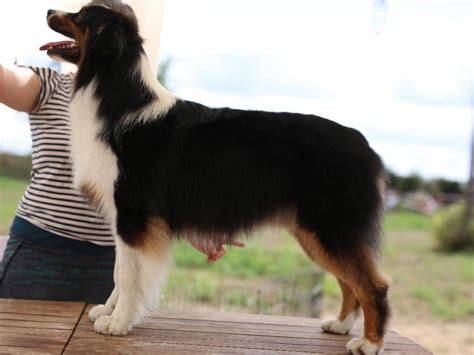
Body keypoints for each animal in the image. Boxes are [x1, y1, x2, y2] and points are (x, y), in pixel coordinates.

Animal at [41, 0, 388, 354]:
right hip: (313, 233)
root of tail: (364, 145)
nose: (49, 11)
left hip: (332, 228)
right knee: (349, 282)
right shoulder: (124, 219)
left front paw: (119, 323)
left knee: (373, 284)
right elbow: (118, 273)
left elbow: (127, 274)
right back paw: (341, 325)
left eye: (81, 15)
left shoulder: (134, 216)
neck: (113, 92)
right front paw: (109, 312)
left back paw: (369, 343)